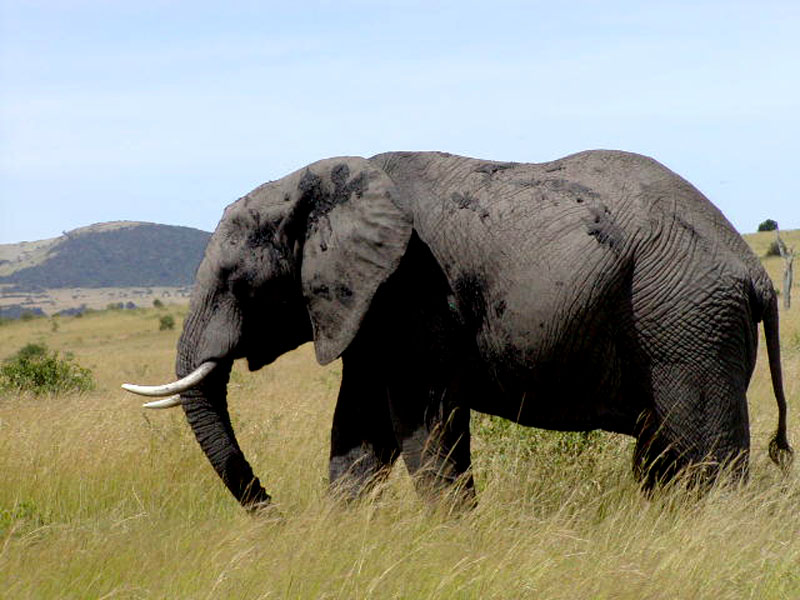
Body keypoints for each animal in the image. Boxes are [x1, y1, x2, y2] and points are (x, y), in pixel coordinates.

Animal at [123, 149, 792, 509]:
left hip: (687, 322)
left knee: (704, 452)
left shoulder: (413, 293)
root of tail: (754, 272)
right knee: (663, 455)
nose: (275, 514)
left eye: (237, 281)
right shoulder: (368, 310)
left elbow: (425, 429)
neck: (325, 184)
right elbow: (358, 432)